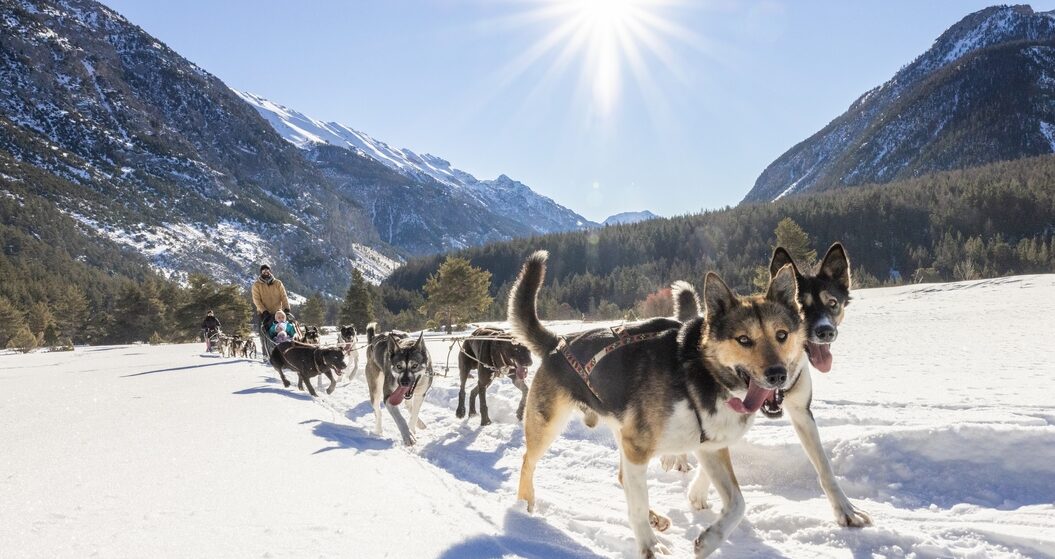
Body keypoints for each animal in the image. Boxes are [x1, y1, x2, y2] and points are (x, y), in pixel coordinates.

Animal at [510, 249, 806, 552]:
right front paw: (650, 547)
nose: (777, 374)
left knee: (622, 478)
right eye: (744, 339)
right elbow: (637, 506)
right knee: (527, 461)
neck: (698, 374)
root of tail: (556, 342)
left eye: (781, 335)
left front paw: (708, 541)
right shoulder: (638, 447)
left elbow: (738, 503)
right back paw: (524, 506)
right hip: (549, 425)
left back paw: (656, 519)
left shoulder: (707, 448)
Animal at [662, 242, 869, 527]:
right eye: (800, 307)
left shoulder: (801, 412)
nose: (826, 331)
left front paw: (845, 509)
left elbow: (824, 466)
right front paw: (698, 490)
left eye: (833, 304)